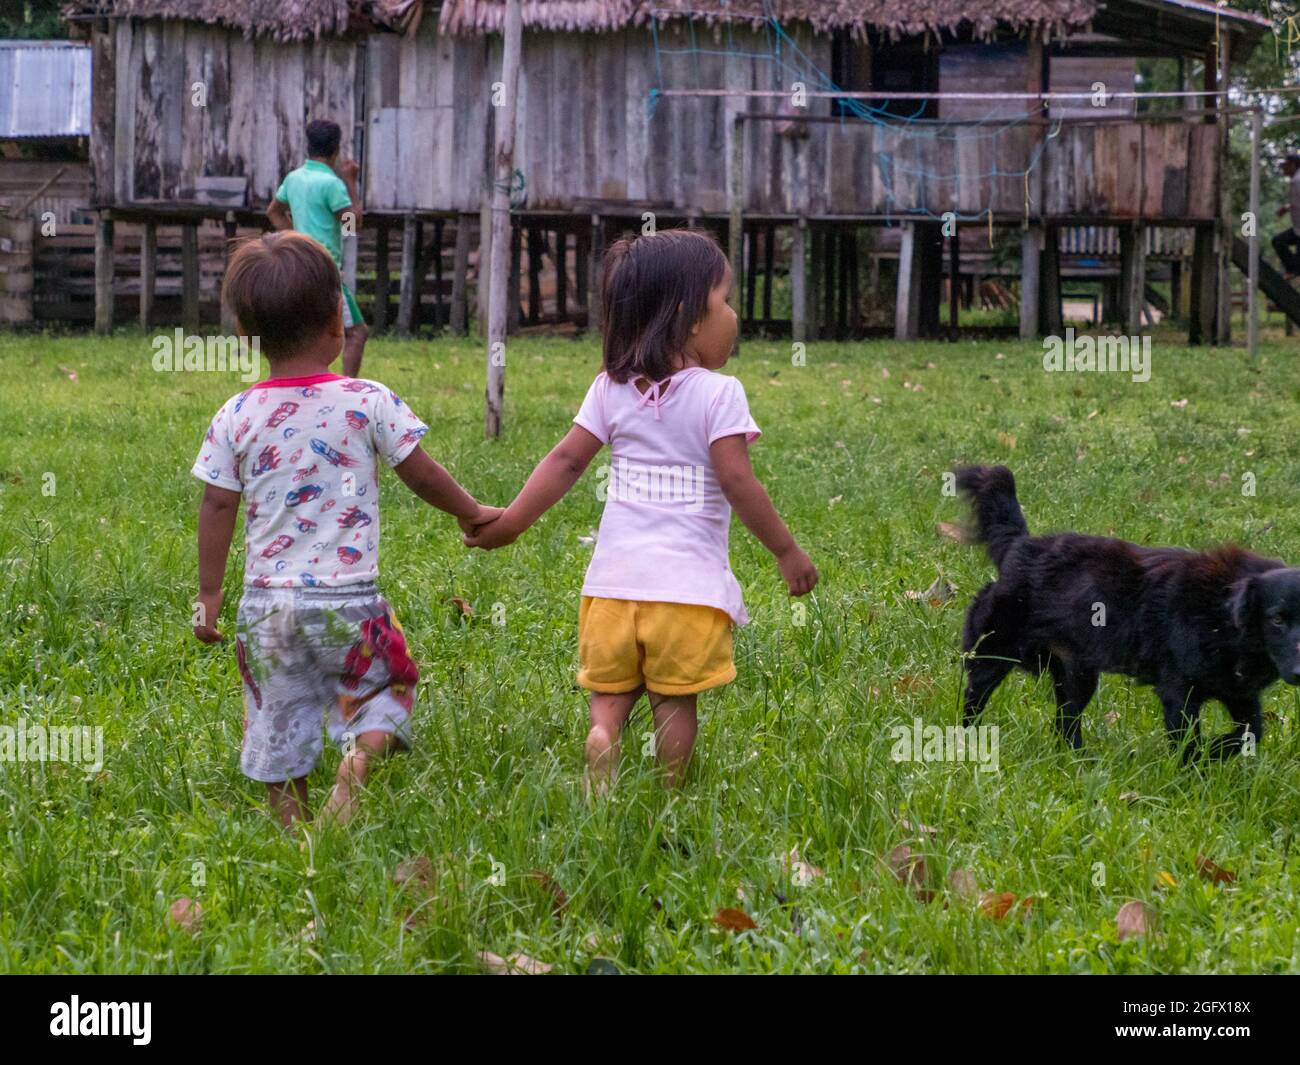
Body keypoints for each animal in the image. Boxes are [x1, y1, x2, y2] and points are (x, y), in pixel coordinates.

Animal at [956, 465, 1300, 759]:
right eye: (1276, 619)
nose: (1298, 673)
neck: (1222, 618)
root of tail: (1019, 545)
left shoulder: (1240, 692)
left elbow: (1251, 731)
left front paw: (1216, 750)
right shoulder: (1178, 691)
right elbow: (1189, 743)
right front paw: (1195, 769)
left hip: (1077, 674)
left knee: (1065, 724)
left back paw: (1080, 761)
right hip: (993, 652)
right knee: (973, 702)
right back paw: (968, 744)